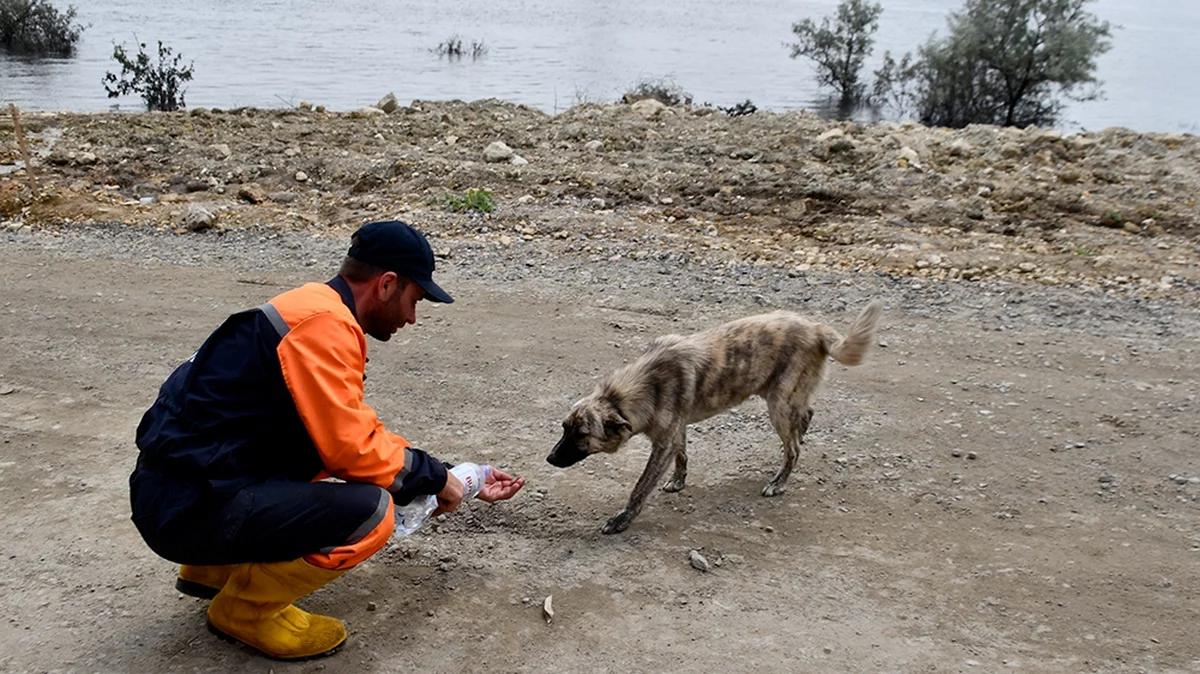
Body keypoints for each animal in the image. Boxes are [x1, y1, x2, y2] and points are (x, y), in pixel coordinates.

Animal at [549, 302, 878, 532]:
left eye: (582, 435)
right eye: (564, 428)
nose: (549, 459)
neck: (638, 388)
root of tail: (816, 327)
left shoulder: (663, 443)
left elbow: (640, 486)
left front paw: (622, 519)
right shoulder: (676, 432)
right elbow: (682, 456)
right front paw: (678, 482)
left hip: (778, 405)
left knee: (793, 448)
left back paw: (779, 481)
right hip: (785, 400)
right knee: (806, 415)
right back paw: (802, 432)